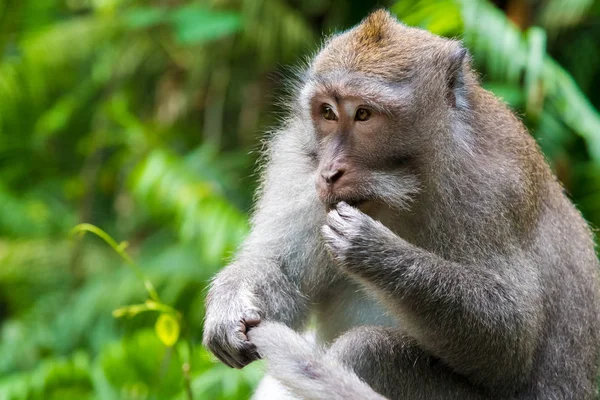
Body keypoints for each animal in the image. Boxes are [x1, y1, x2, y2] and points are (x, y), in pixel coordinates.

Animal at [203, 9, 600, 400]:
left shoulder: (497, 188)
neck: (404, 186)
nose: (329, 172)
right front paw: (230, 306)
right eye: (328, 112)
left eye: (364, 114)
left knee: (368, 351)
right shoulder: (298, 168)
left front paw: (375, 250)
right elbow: (283, 274)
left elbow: (510, 340)